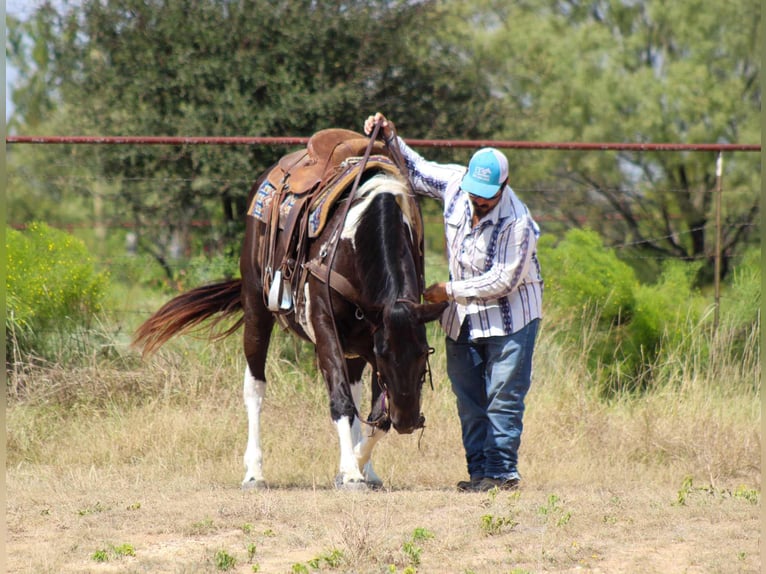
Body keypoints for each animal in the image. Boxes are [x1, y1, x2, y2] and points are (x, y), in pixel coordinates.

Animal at [133, 134, 446, 490]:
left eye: (424, 353)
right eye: (385, 356)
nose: (407, 420)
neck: (353, 241)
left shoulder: (372, 333)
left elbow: (376, 416)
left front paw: (356, 465)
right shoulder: (327, 329)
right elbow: (342, 402)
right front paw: (351, 472)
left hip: (352, 345)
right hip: (257, 310)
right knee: (255, 387)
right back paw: (254, 472)